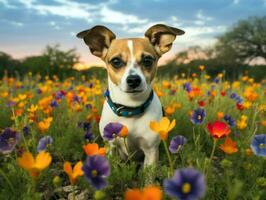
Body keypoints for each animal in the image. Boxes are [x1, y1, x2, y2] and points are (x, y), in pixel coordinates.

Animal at [77, 24, 184, 166]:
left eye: (147, 60)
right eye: (116, 61)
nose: (133, 80)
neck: (130, 110)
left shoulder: (150, 151)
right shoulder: (111, 146)